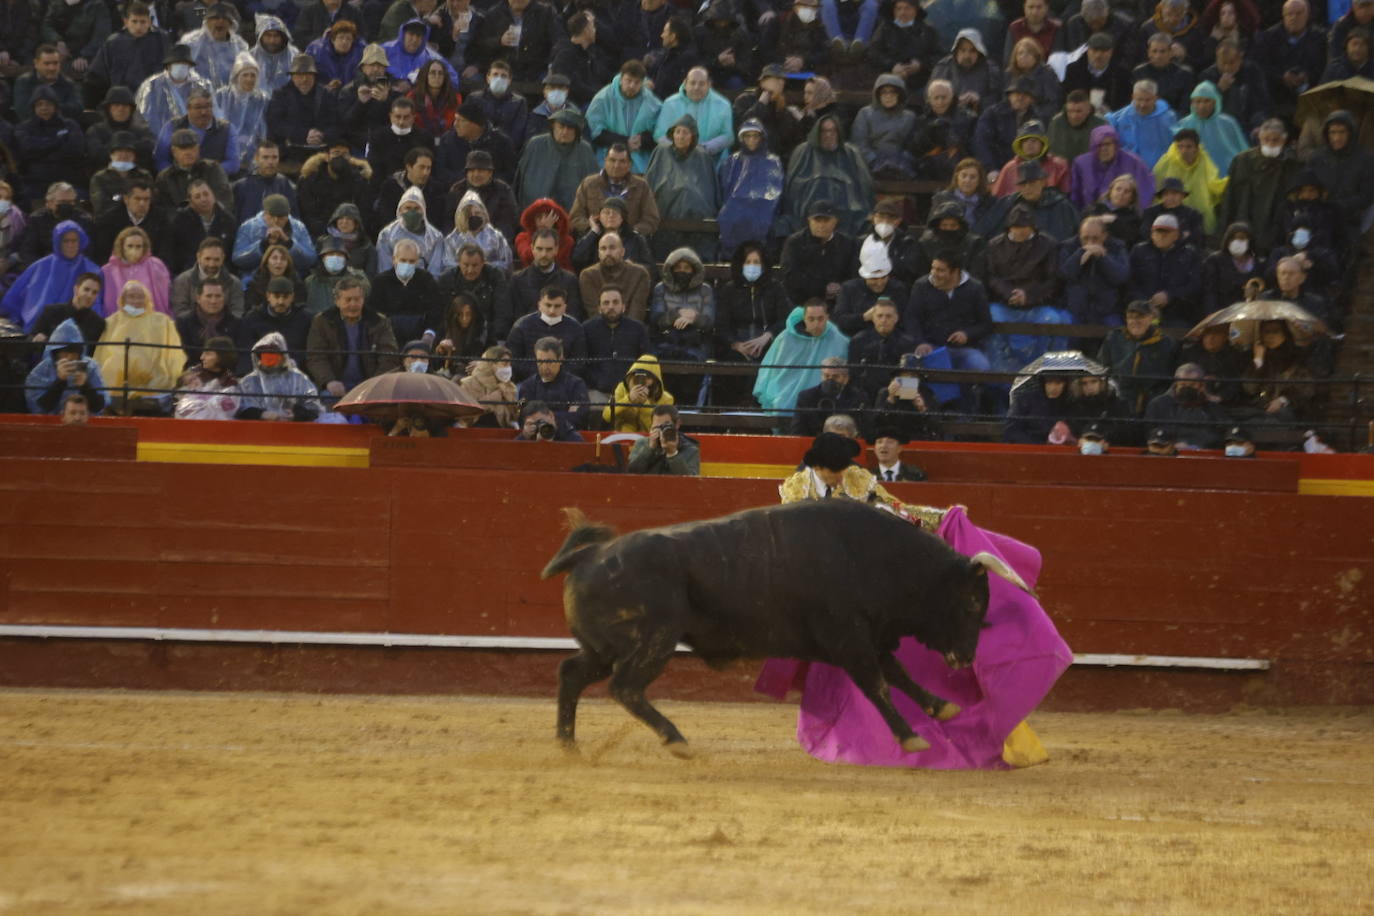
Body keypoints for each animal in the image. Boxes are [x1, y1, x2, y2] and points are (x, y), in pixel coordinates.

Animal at [538, 497, 1033, 758]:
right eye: (973, 600)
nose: (966, 658)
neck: (878, 557)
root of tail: (592, 554)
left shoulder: (869, 636)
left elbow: (898, 675)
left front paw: (941, 707)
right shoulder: (849, 639)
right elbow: (877, 683)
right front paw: (910, 737)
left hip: (603, 647)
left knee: (571, 674)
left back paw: (567, 744)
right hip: (653, 639)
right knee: (625, 687)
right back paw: (676, 740)